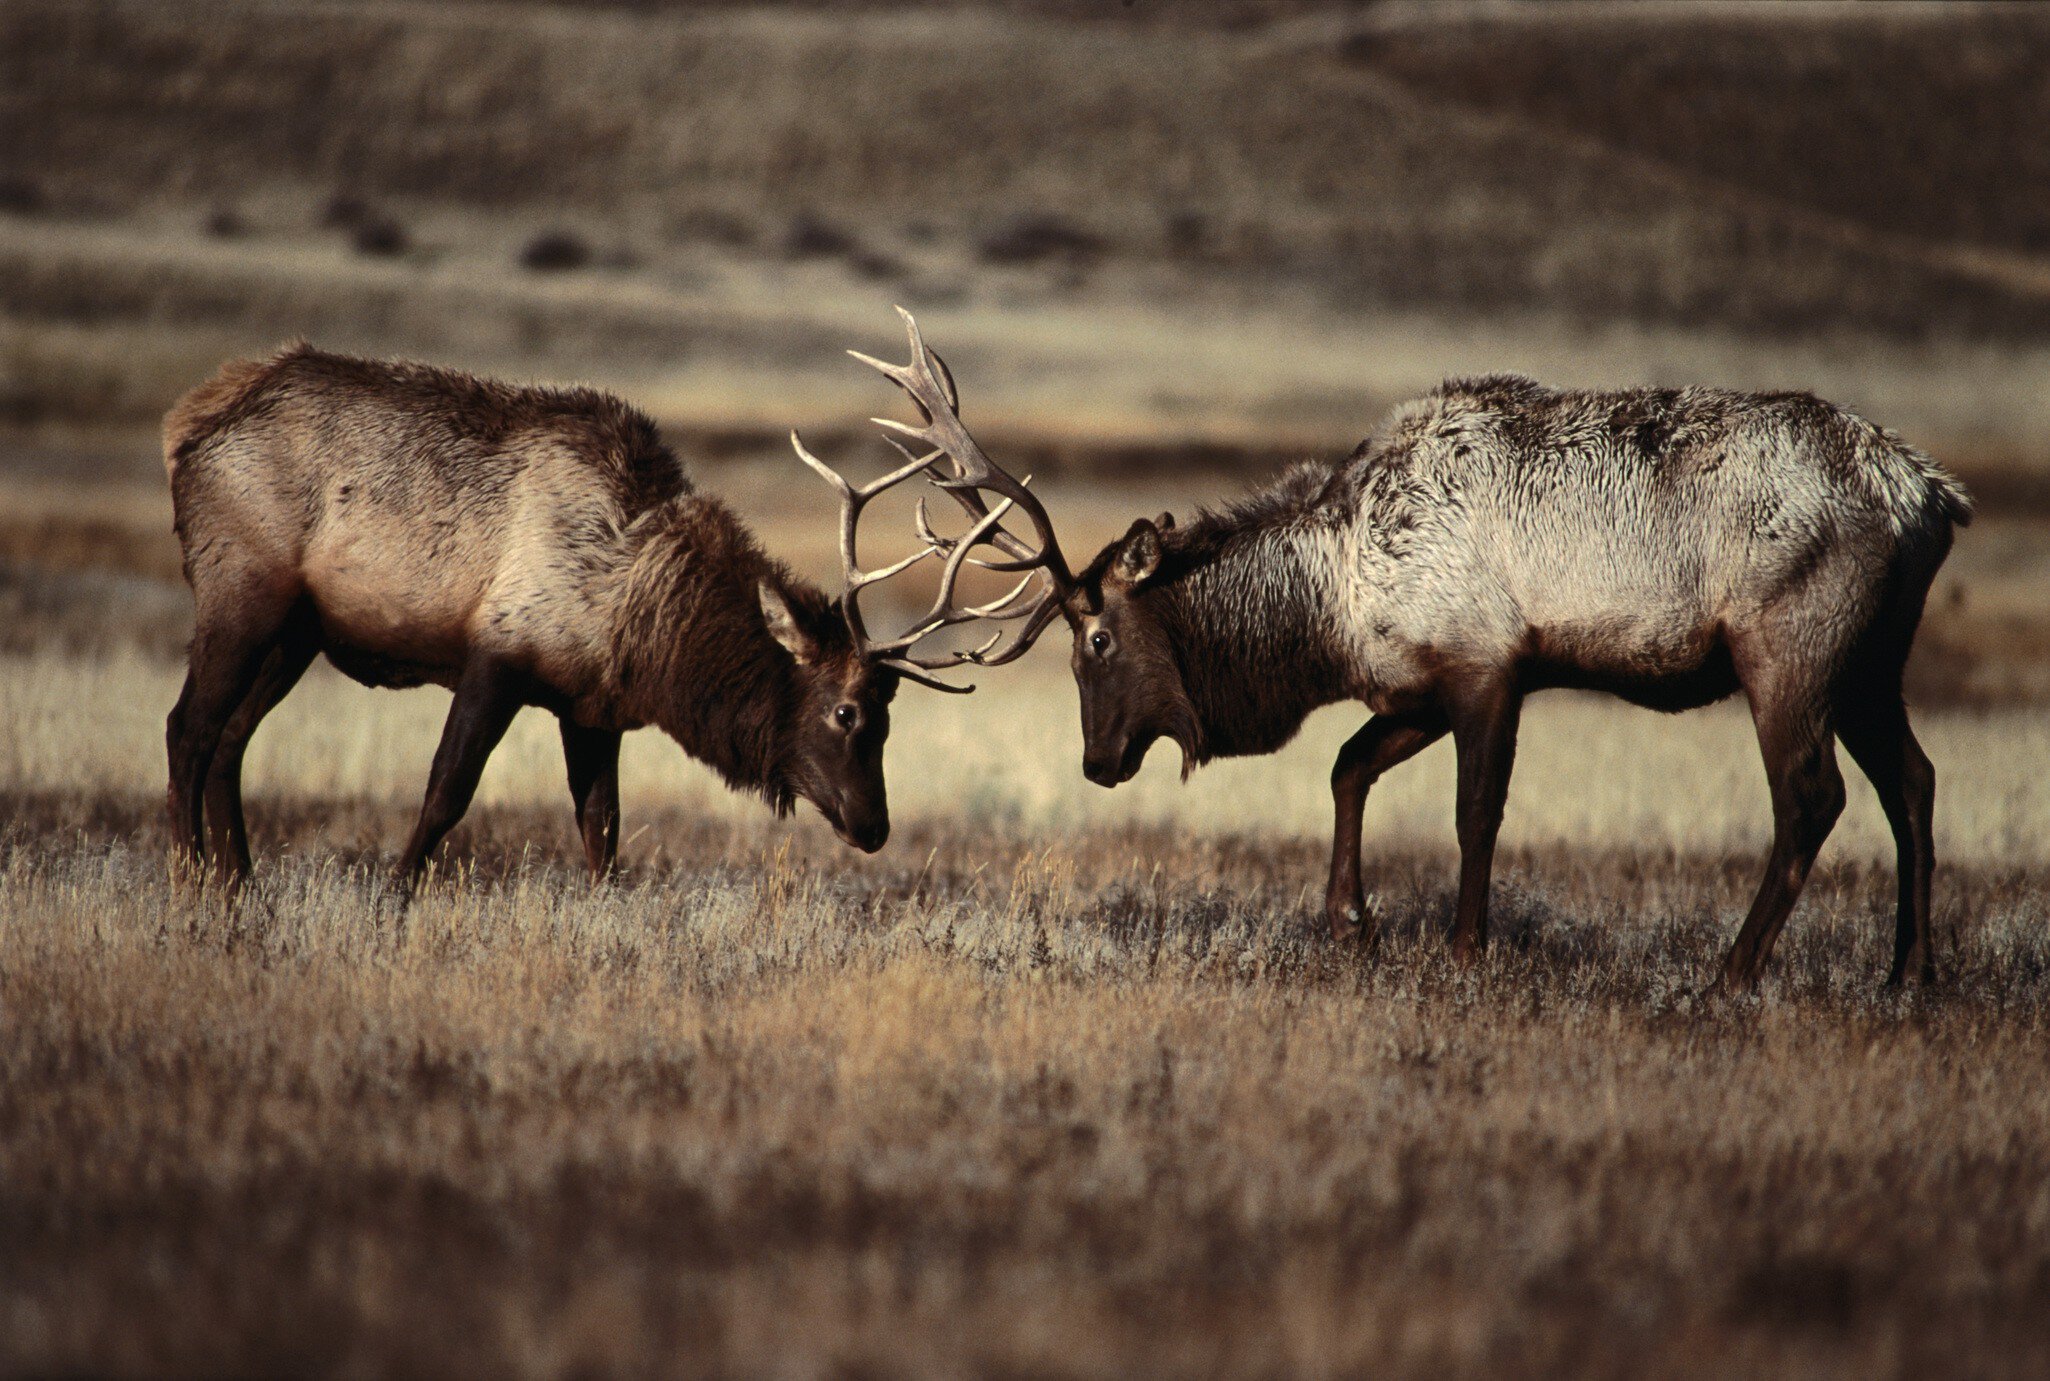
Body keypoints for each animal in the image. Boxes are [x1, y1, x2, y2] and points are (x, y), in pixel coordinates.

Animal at [162, 343, 1026, 888]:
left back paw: (241, 887)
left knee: (232, 740)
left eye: (890, 713)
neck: (636, 614)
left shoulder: (590, 708)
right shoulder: (498, 657)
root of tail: (186, 427)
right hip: (241, 593)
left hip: (295, 632)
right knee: (189, 729)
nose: (874, 824)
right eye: (847, 711)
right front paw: (390, 896)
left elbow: (602, 831)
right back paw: (189, 884)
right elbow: (446, 793)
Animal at [856, 309, 1972, 991]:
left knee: (1813, 797)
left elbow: (1473, 813)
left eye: (1094, 634)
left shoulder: (1489, 663)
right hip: (1873, 661)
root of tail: (1929, 494)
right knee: (1912, 779)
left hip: (1790, 648)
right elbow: (1349, 766)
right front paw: (1350, 918)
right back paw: (1908, 971)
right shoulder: (1416, 684)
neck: (1333, 601)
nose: (1095, 762)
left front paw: (1464, 946)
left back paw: (1733, 971)